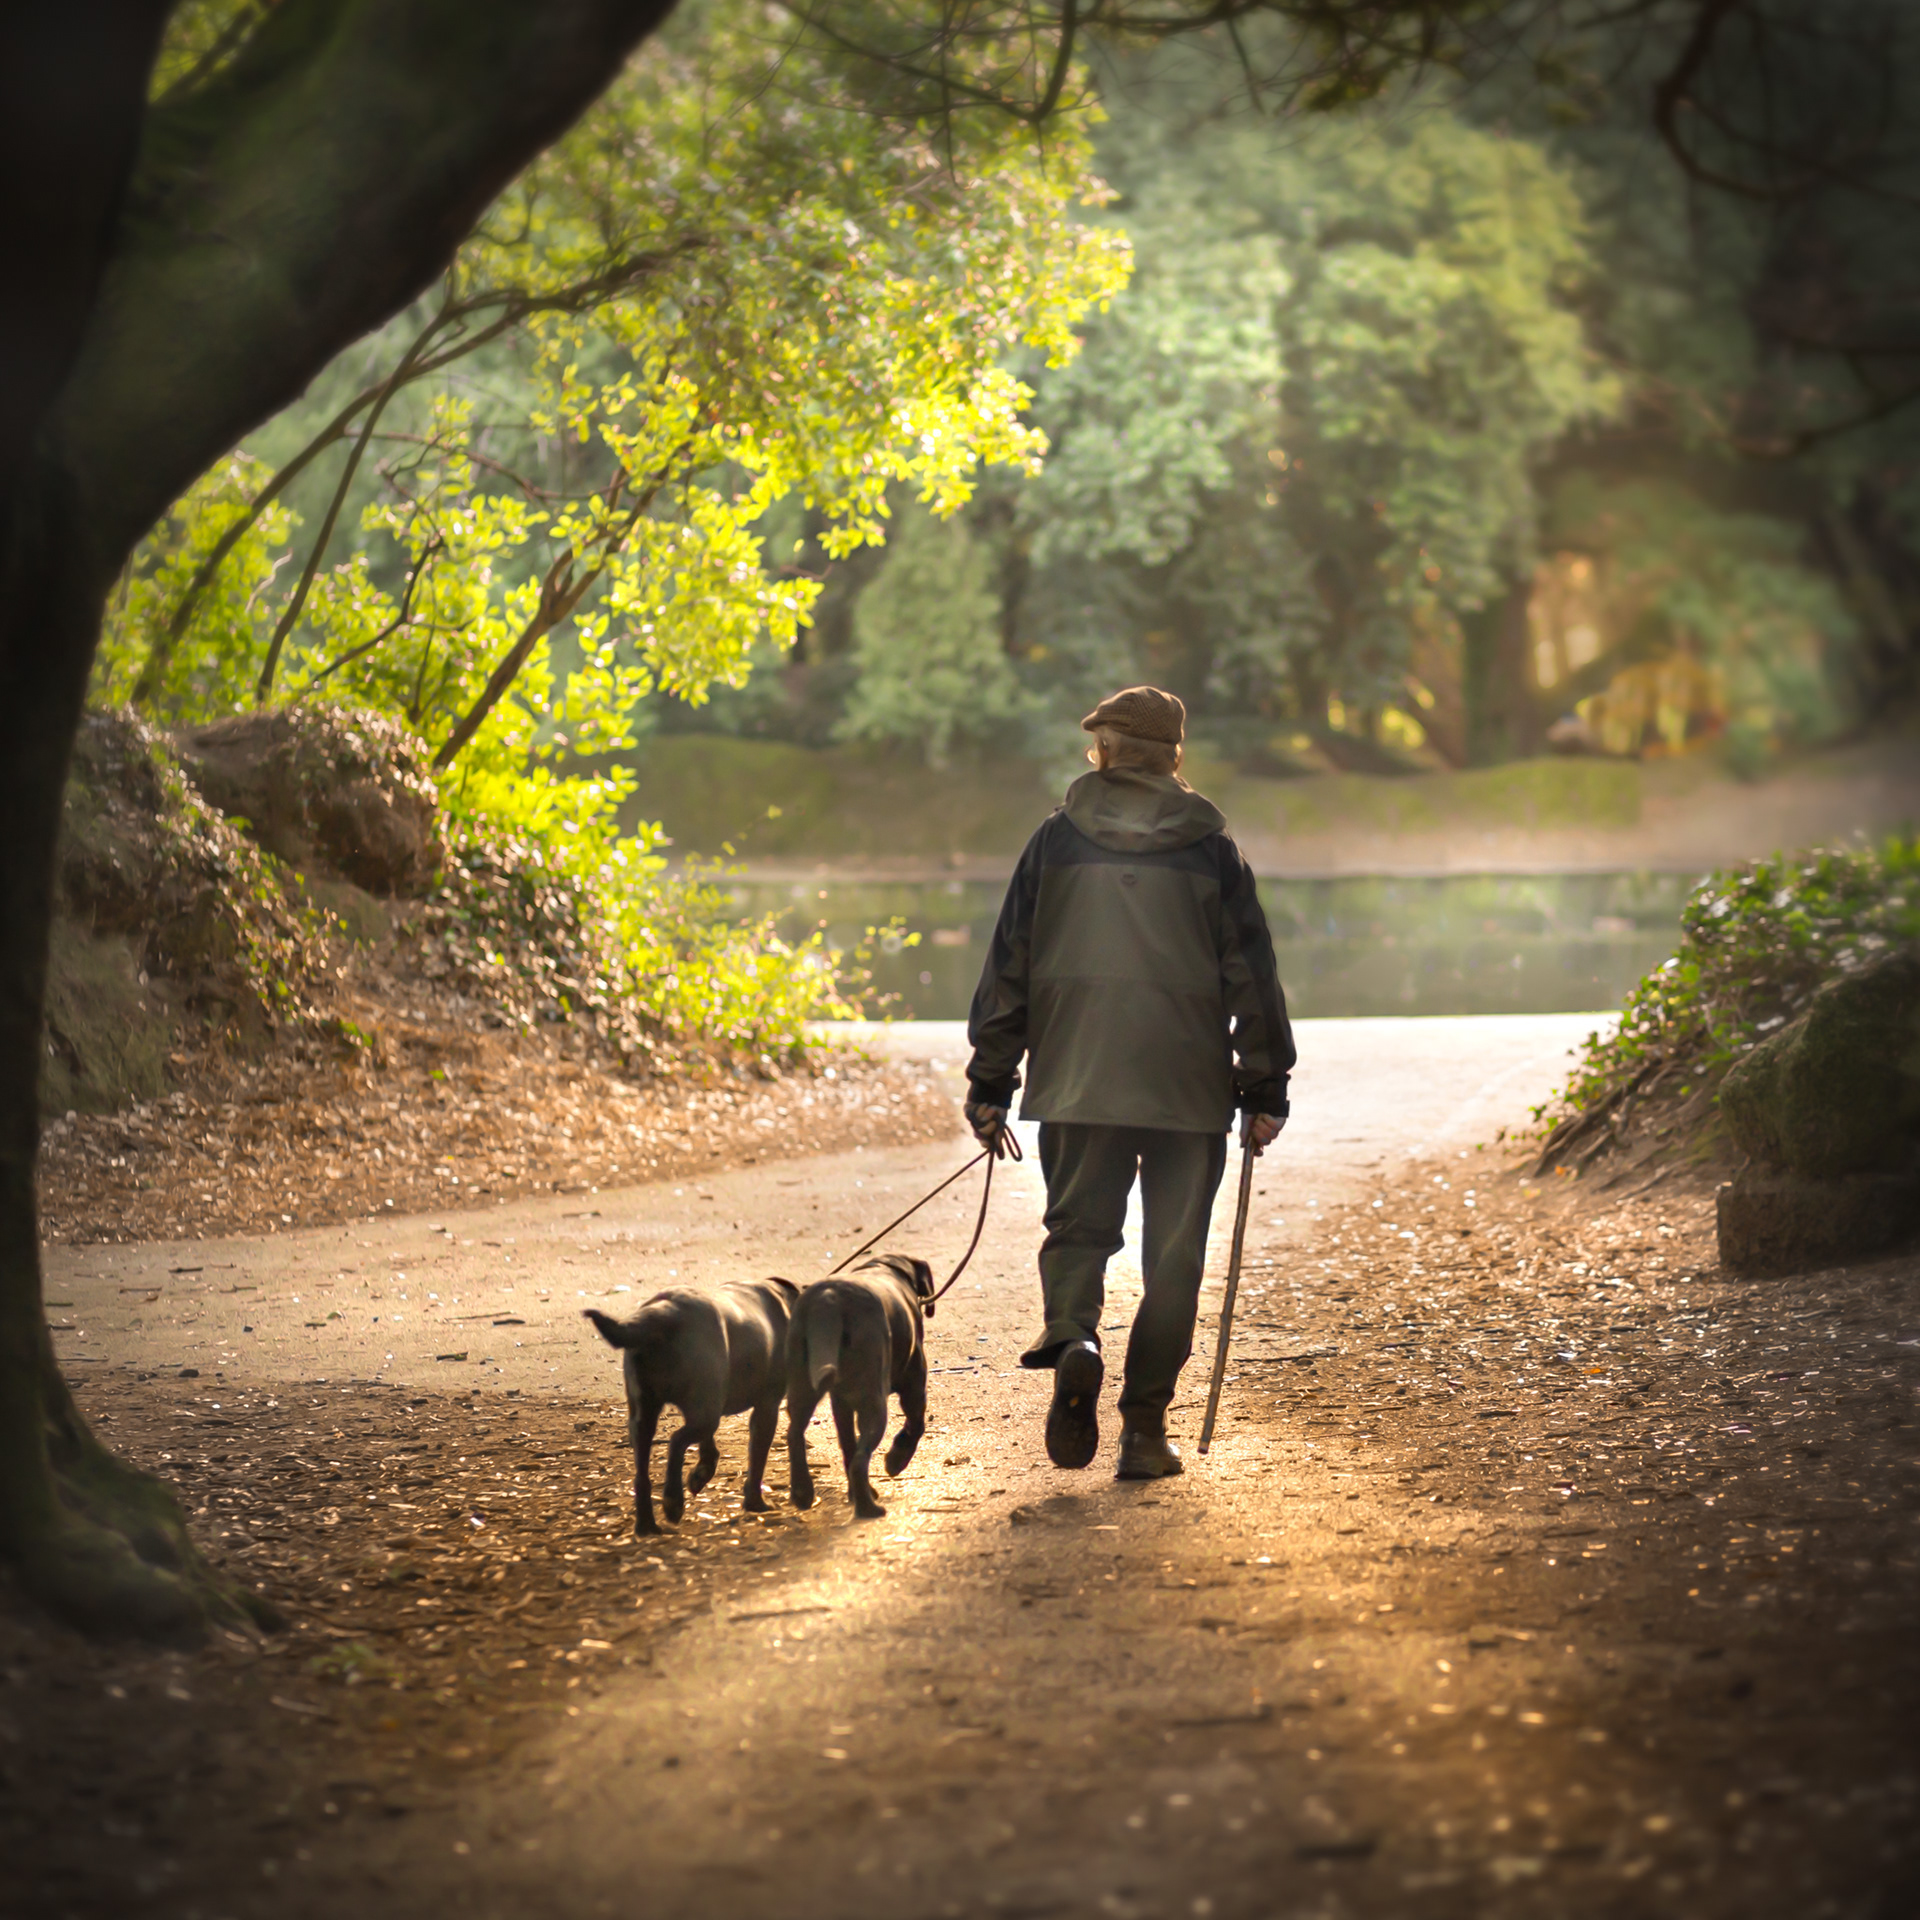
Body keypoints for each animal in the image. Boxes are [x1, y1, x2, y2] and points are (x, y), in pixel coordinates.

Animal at [583, 1282, 794, 1536]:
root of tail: (663, 1313)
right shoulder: (767, 1407)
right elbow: (757, 1459)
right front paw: (755, 1503)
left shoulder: (707, 1404)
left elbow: (709, 1447)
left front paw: (702, 1472)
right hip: (703, 1412)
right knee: (676, 1441)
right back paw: (673, 1502)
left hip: (646, 1415)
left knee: (642, 1474)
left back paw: (647, 1524)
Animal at [779, 1251, 929, 1520]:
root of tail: (829, 1302)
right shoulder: (915, 1380)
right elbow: (916, 1424)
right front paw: (897, 1459)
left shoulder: (841, 1402)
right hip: (873, 1403)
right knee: (860, 1459)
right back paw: (868, 1507)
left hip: (802, 1388)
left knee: (798, 1435)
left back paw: (804, 1493)